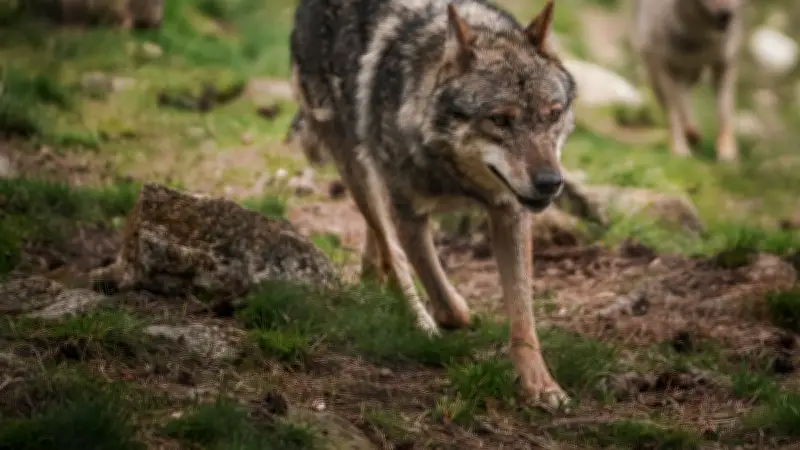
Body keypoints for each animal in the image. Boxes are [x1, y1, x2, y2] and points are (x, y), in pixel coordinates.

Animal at [289, 0, 577, 407]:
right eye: (500, 120)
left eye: (552, 114)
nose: (551, 183)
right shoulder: (408, 213)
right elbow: (447, 301)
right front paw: (452, 314)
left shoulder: (510, 212)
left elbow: (523, 317)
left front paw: (540, 386)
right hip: (359, 171)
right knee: (390, 249)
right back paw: (417, 318)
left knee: (379, 246)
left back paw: (372, 276)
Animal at [632, 0, 744, 162]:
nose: (726, 14)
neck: (699, 37)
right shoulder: (668, 69)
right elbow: (676, 113)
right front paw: (681, 149)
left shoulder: (724, 66)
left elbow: (724, 113)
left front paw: (727, 153)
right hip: (658, 76)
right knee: (675, 106)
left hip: (693, 74)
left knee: (686, 98)